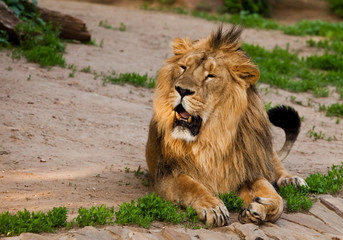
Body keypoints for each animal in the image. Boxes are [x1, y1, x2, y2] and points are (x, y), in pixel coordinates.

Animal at [145, 25, 306, 226]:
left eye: (211, 76)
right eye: (183, 67)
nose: (181, 90)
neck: (213, 138)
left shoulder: (248, 170)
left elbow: (276, 199)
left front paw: (261, 208)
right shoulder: (167, 173)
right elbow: (191, 186)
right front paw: (213, 207)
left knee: (276, 166)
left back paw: (292, 180)